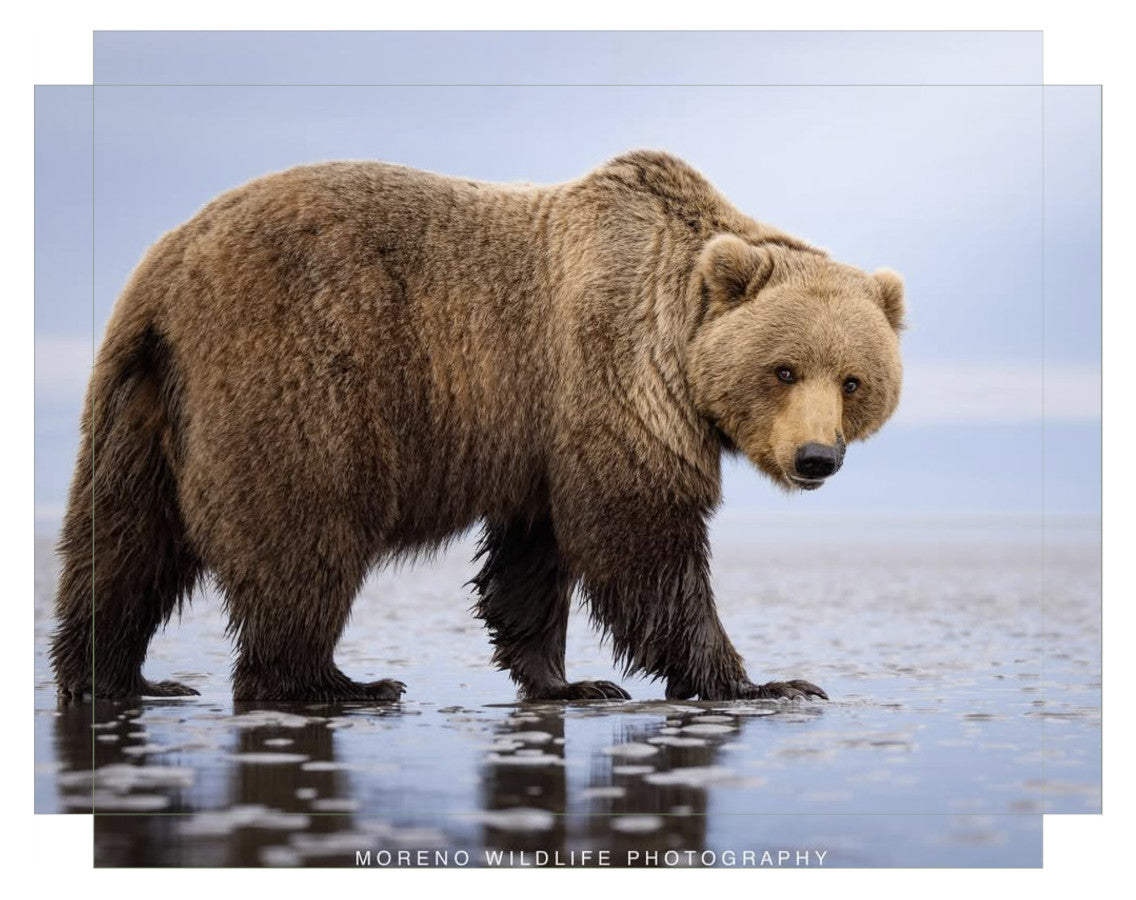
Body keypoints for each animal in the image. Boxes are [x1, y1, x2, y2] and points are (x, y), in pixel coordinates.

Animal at [50, 149, 905, 703]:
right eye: (784, 369)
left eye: (854, 380)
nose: (816, 457)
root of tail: (167, 271)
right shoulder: (611, 376)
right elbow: (641, 538)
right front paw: (765, 682)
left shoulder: (538, 431)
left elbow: (534, 556)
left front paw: (568, 681)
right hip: (294, 372)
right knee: (302, 536)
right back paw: (333, 682)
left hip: (140, 402)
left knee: (123, 544)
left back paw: (121, 677)